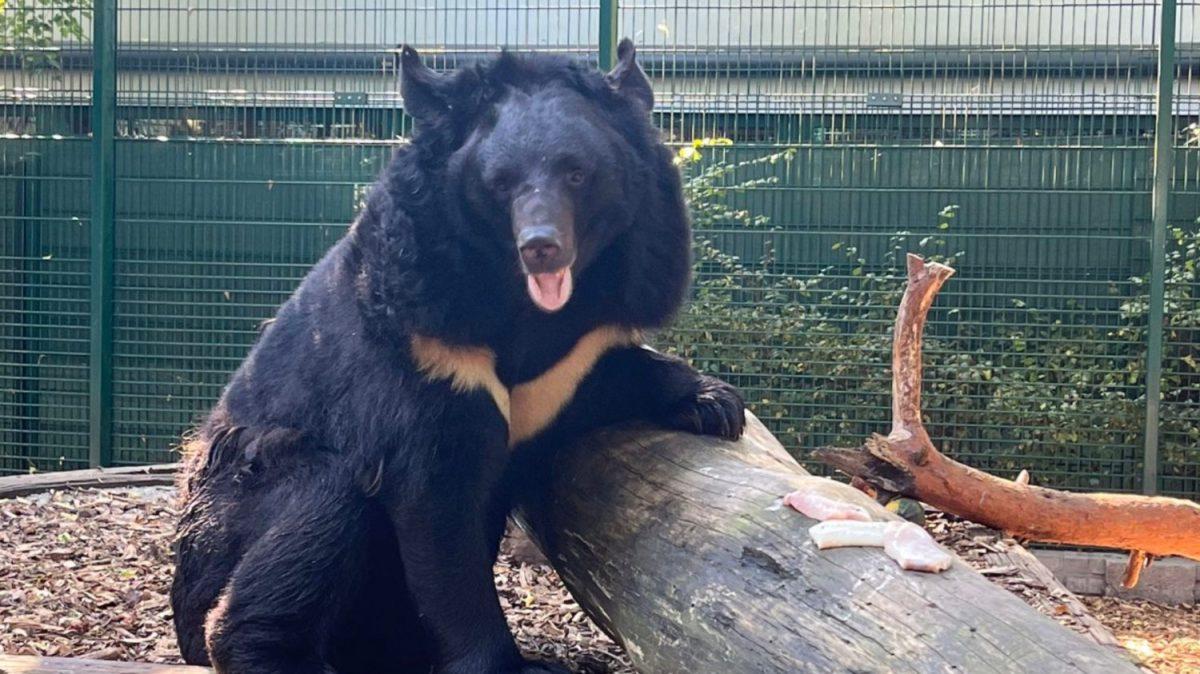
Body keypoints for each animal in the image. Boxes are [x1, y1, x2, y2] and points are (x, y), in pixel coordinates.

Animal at [174, 40, 744, 671]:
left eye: (577, 173)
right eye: (500, 183)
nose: (541, 246)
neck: (522, 303)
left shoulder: (574, 353)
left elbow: (608, 372)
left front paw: (714, 404)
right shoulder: (426, 348)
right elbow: (439, 512)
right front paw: (512, 664)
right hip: (235, 503)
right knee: (319, 506)